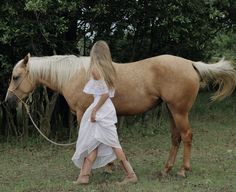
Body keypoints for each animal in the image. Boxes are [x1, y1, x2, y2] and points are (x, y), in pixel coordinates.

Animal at [4, 53, 236, 177]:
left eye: (15, 77)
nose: (7, 101)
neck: (76, 75)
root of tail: (191, 64)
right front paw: (108, 166)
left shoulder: (83, 113)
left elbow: (88, 140)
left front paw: (88, 168)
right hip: (172, 111)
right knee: (175, 138)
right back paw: (166, 169)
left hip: (179, 111)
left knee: (186, 136)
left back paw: (182, 170)